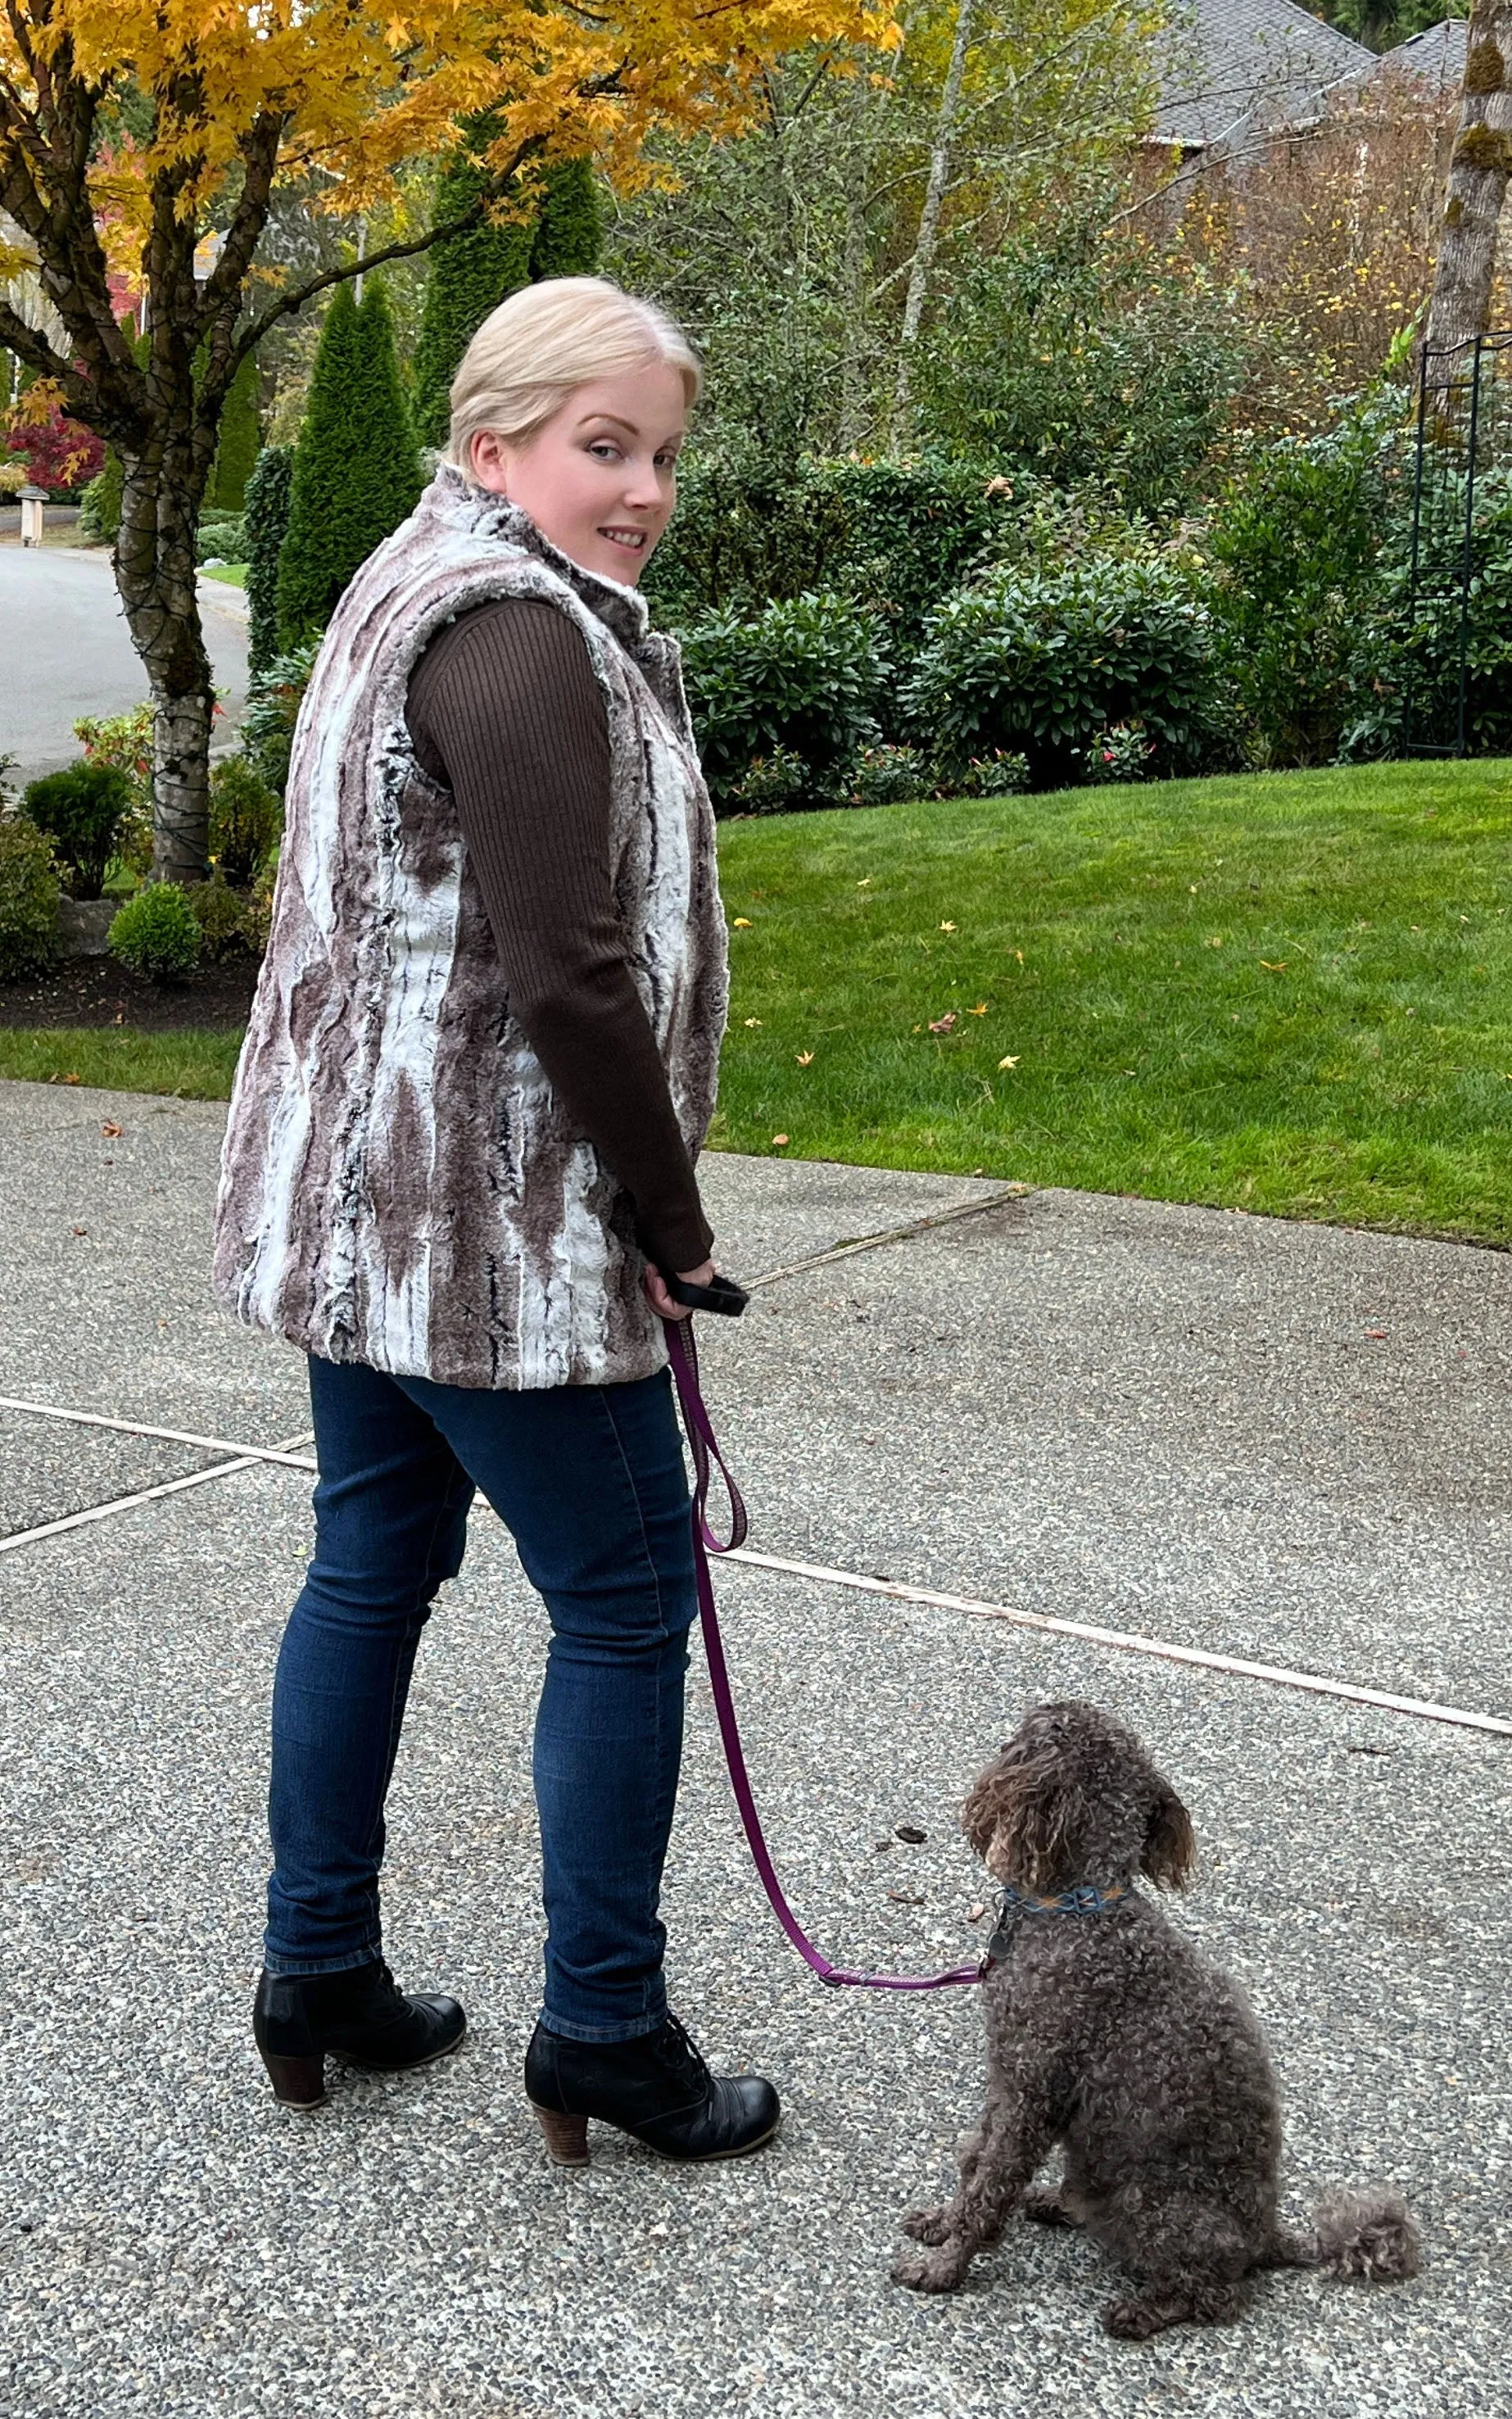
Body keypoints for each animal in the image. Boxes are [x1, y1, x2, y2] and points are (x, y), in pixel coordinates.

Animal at [885, 1693, 1412, 2331]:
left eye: (1040, 1730)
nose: (1041, 1700)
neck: (1082, 1909)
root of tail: (1267, 2237)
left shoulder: (1033, 2094)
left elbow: (989, 2186)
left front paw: (943, 2267)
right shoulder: (1008, 2079)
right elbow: (975, 2160)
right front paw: (940, 2223)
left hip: (1153, 2205)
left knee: (1217, 2294)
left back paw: (1143, 2310)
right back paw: (1056, 2202)